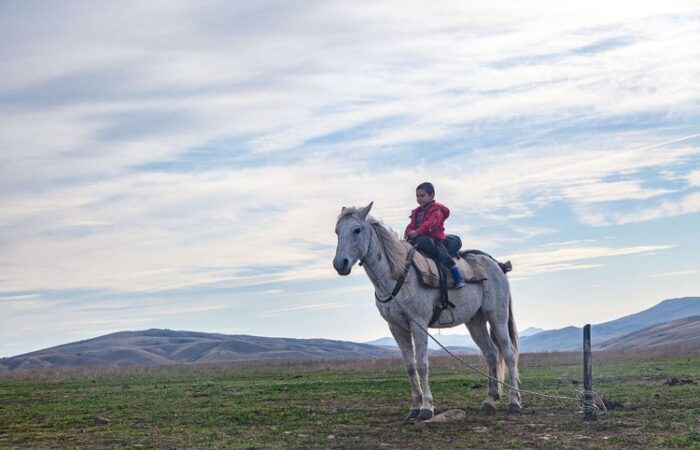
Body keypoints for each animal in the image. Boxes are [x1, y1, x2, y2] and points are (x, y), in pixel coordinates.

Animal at [333, 202, 520, 420]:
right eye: (337, 231)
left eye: (357, 229)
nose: (340, 263)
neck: (399, 276)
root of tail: (496, 265)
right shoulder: (396, 328)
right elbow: (410, 367)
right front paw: (414, 407)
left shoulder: (418, 324)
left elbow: (422, 365)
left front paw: (426, 408)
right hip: (476, 321)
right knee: (490, 354)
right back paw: (490, 400)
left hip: (497, 317)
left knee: (508, 354)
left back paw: (514, 402)